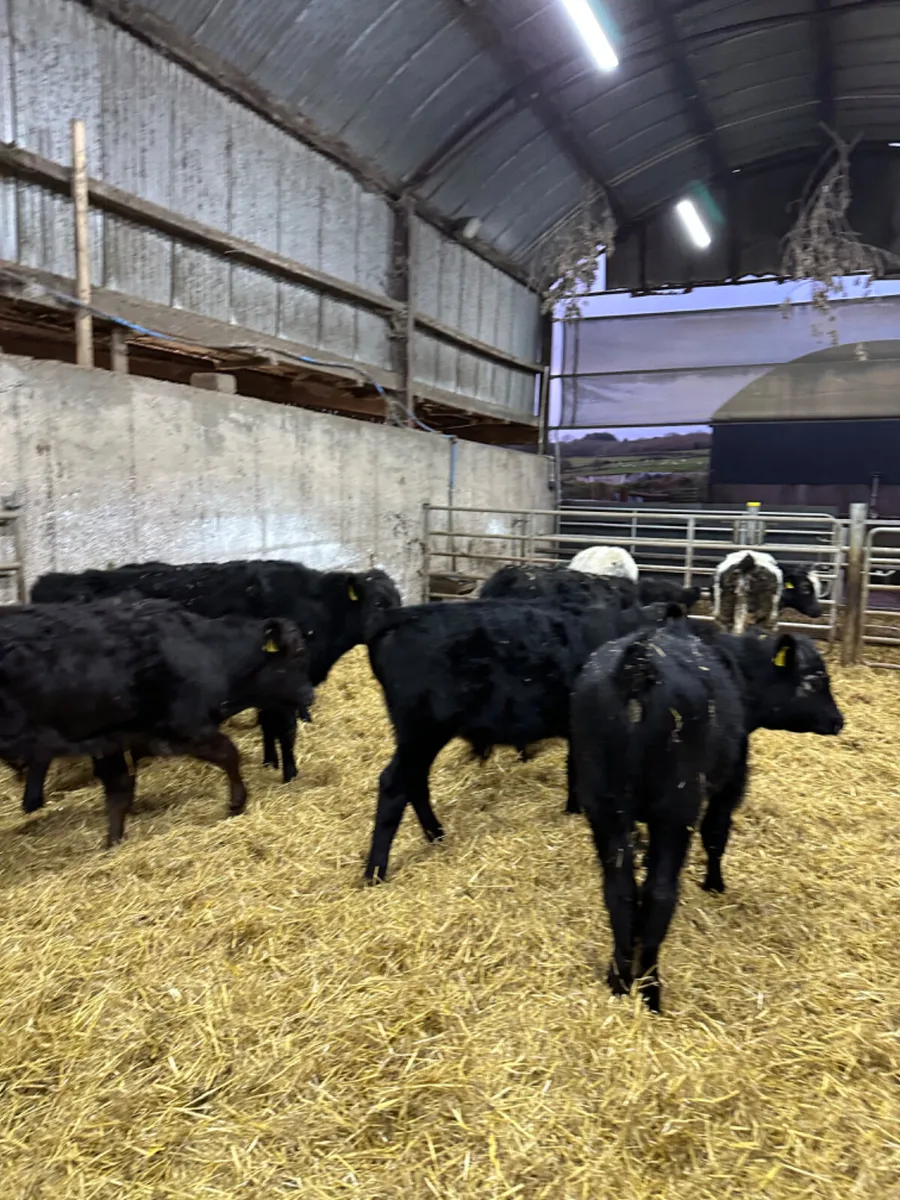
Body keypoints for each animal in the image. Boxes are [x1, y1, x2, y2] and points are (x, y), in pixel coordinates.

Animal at [0, 597, 314, 847]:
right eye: (296, 657)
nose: (310, 695)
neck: (205, 652)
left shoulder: (114, 739)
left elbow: (119, 792)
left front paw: (113, 844)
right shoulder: (180, 729)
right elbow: (229, 754)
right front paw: (237, 803)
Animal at [30, 560, 401, 788]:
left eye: (398, 599)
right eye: (379, 603)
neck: (318, 611)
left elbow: (268, 725)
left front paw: (270, 763)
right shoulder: (284, 685)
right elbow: (285, 729)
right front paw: (290, 773)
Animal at [362, 596, 675, 883]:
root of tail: (403, 617)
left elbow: (574, 768)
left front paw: (573, 810)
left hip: (420, 736)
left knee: (414, 781)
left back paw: (437, 835)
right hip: (423, 731)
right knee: (394, 784)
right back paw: (375, 872)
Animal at [571, 622, 844, 1013]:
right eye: (815, 680)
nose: (838, 721)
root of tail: (637, 661)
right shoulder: (731, 780)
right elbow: (716, 835)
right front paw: (715, 883)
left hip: (604, 805)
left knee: (619, 890)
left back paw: (620, 979)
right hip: (675, 808)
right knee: (660, 891)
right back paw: (650, 988)